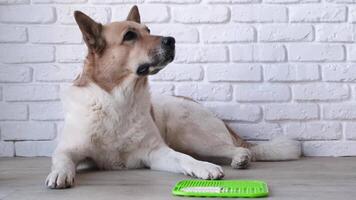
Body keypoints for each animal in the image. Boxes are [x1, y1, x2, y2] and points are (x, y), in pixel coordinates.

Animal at [45, 5, 300, 189]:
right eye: (129, 36)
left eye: (148, 30)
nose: (172, 40)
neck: (120, 99)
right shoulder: (69, 148)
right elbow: (62, 159)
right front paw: (59, 173)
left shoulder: (156, 153)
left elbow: (184, 159)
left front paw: (203, 168)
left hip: (189, 134)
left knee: (234, 150)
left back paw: (239, 159)